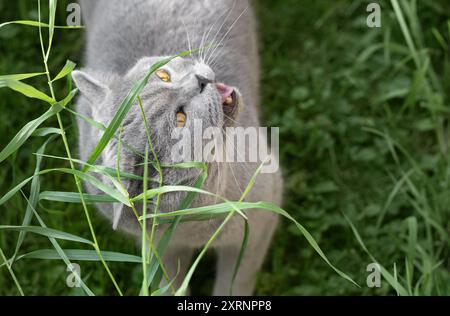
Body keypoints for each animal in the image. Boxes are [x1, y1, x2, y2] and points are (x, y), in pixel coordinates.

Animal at [72, 0, 282, 296]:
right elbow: (168, 284)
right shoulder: (158, 248)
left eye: (163, 74)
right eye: (180, 119)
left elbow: (235, 282)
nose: (200, 81)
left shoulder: (260, 220)